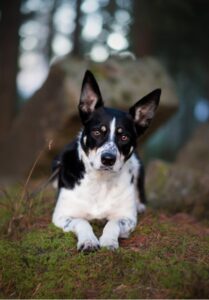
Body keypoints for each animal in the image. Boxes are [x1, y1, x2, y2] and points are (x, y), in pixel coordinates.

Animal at [51, 69, 161, 251]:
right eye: (97, 132)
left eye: (124, 137)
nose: (108, 159)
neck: (100, 182)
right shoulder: (62, 215)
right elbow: (81, 221)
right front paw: (88, 240)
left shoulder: (126, 217)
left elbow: (113, 223)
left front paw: (109, 241)